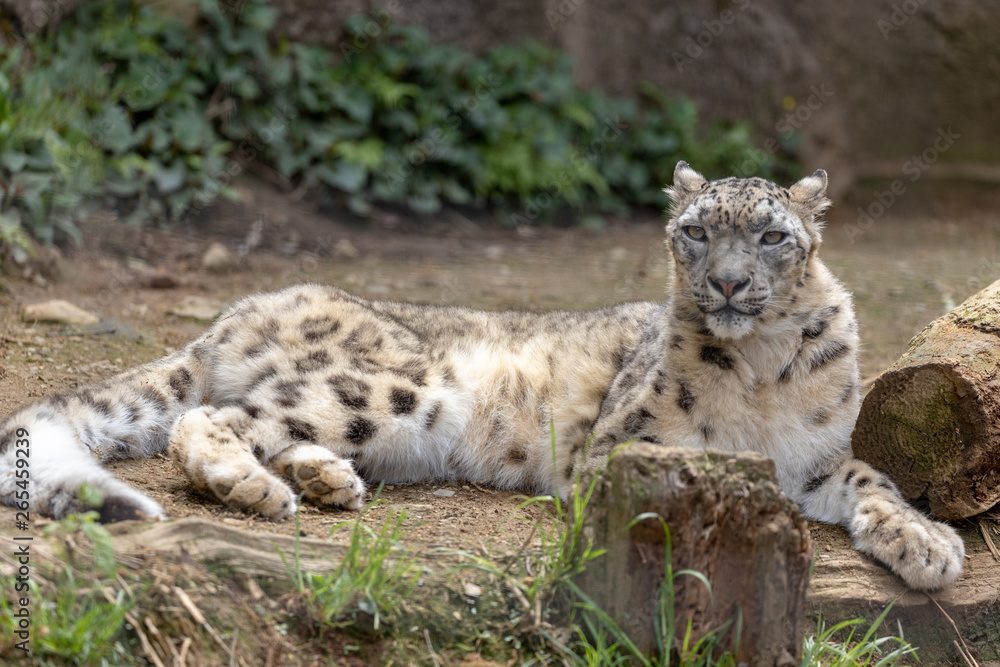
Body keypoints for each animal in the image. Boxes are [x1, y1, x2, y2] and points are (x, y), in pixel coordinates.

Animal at [0, 162, 964, 590]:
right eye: (695, 229)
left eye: (770, 235)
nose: (727, 284)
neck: (763, 372)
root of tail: (240, 310)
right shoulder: (626, 447)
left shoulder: (817, 457)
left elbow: (873, 479)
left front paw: (926, 543)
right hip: (395, 388)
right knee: (210, 419)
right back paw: (256, 485)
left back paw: (323, 479)